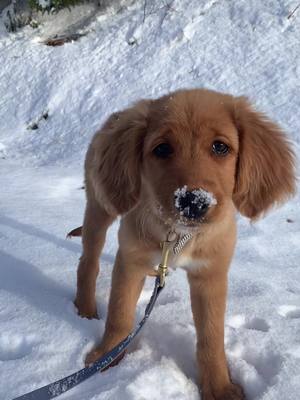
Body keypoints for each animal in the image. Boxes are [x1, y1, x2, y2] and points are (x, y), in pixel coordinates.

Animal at [72, 89, 296, 398]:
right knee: (88, 261)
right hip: (100, 207)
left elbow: (211, 337)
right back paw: (85, 308)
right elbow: (119, 315)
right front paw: (106, 359)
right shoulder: (131, 260)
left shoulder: (210, 274)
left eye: (220, 147)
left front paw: (219, 387)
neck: (178, 235)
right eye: (162, 149)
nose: (193, 202)